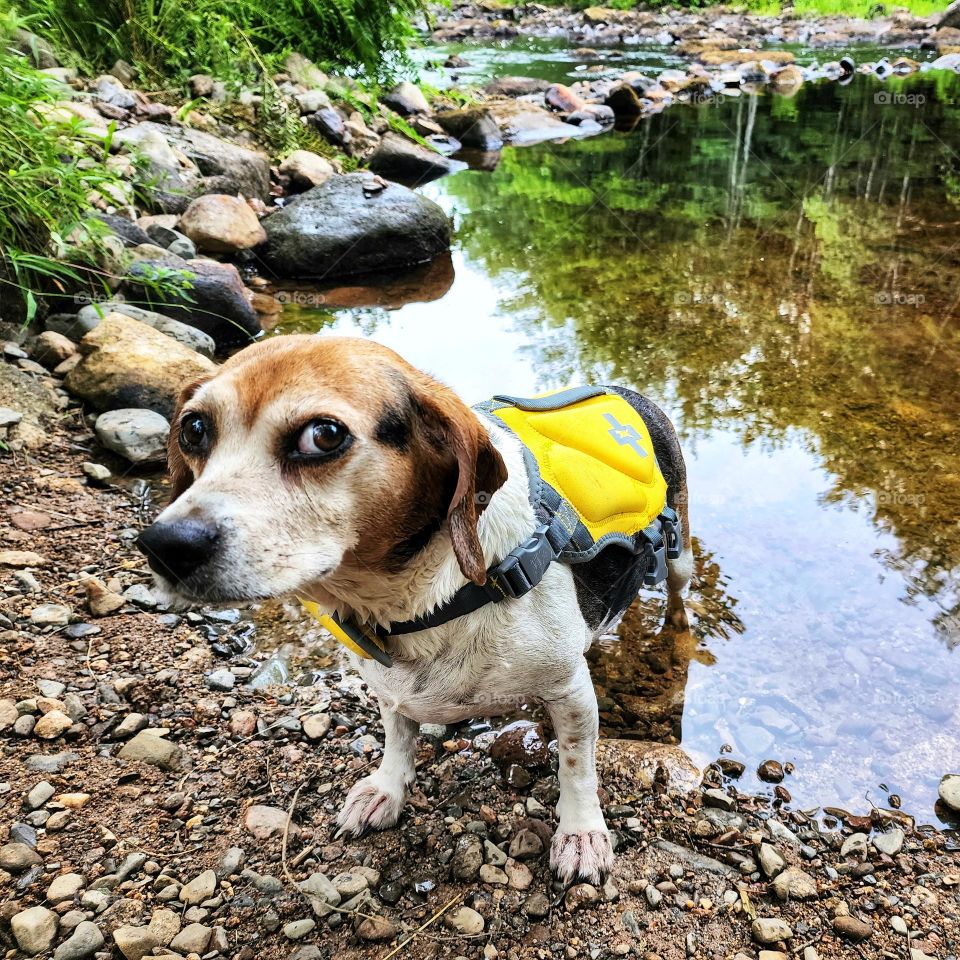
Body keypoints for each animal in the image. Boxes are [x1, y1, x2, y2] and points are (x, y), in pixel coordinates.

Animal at [137, 338, 688, 884]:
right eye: (193, 428)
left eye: (324, 435)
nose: (164, 545)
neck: (428, 595)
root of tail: (624, 391)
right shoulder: (388, 685)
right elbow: (398, 738)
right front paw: (387, 789)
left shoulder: (569, 691)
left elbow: (576, 766)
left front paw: (580, 833)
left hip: (678, 551)